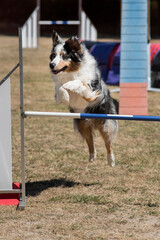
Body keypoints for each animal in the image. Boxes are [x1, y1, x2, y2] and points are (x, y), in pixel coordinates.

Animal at [49, 30, 118, 167]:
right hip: (82, 123)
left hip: (104, 123)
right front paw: (65, 96)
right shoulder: (57, 90)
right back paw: (92, 156)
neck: (71, 72)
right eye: (53, 56)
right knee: (90, 141)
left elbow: (79, 82)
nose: (51, 65)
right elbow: (60, 88)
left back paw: (111, 160)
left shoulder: (92, 92)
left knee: (108, 142)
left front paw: (70, 85)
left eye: (64, 56)